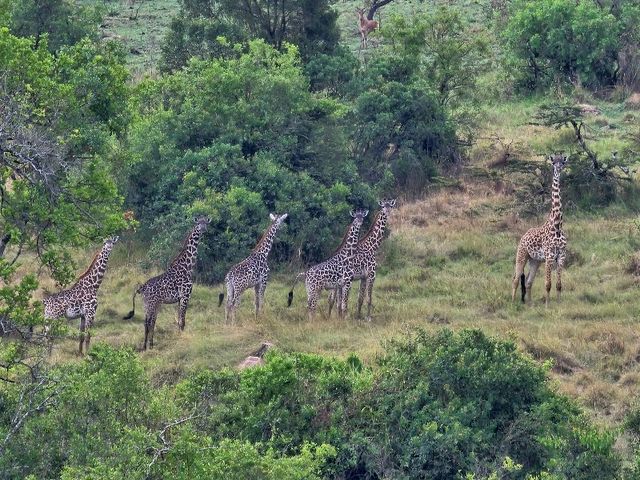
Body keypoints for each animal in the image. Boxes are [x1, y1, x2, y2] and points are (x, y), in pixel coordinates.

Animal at [125, 217, 212, 348]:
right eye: (198, 223)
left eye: (206, 222)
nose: (203, 229)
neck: (188, 266)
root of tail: (142, 288)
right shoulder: (185, 295)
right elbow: (182, 321)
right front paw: (181, 338)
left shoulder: (180, 298)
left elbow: (179, 320)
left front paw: (179, 336)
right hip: (151, 304)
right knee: (148, 322)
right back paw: (146, 346)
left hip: (148, 304)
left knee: (149, 322)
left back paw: (149, 344)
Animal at [512, 154, 568, 306]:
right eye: (554, 162)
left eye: (563, 162)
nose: (559, 168)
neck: (557, 225)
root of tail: (523, 235)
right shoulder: (549, 256)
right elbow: (547, 284)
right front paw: (548, 306)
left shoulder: (561, 256)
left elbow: (559, 285)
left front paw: (559, 304)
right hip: (522, 255)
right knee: (515, 279)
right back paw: (513, 303)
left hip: (535, 261)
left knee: (529, 281)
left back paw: (530, 304)